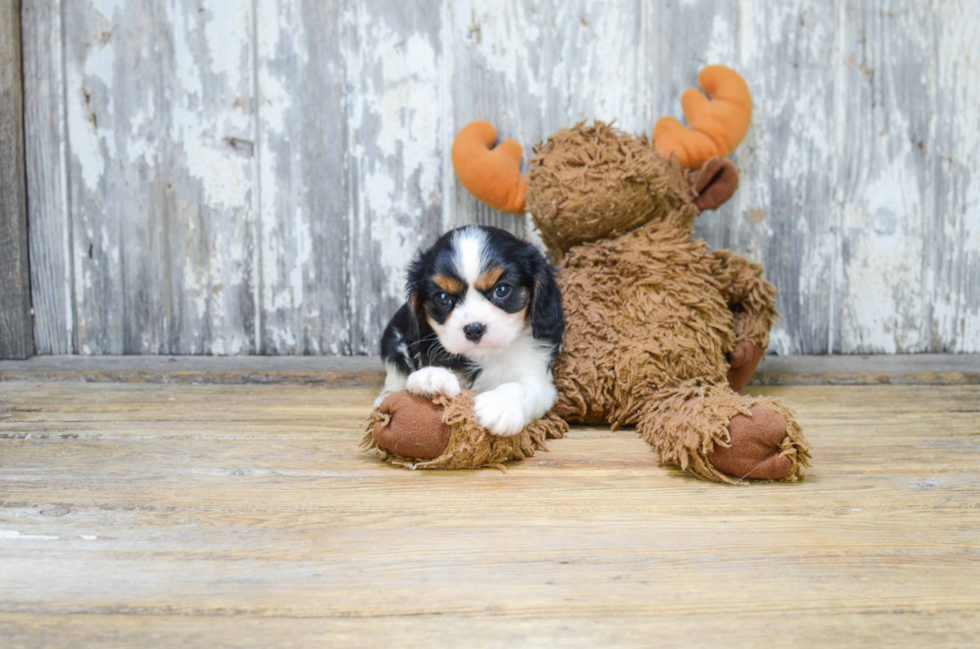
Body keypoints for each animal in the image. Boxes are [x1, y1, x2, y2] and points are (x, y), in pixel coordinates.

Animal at [378, 225, 568, 432]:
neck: (488, 355)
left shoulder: (541, 382)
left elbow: (522, 387)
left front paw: (500, 404)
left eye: (501, 290)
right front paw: (432, 376)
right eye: (443, 297)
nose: (474, 329)